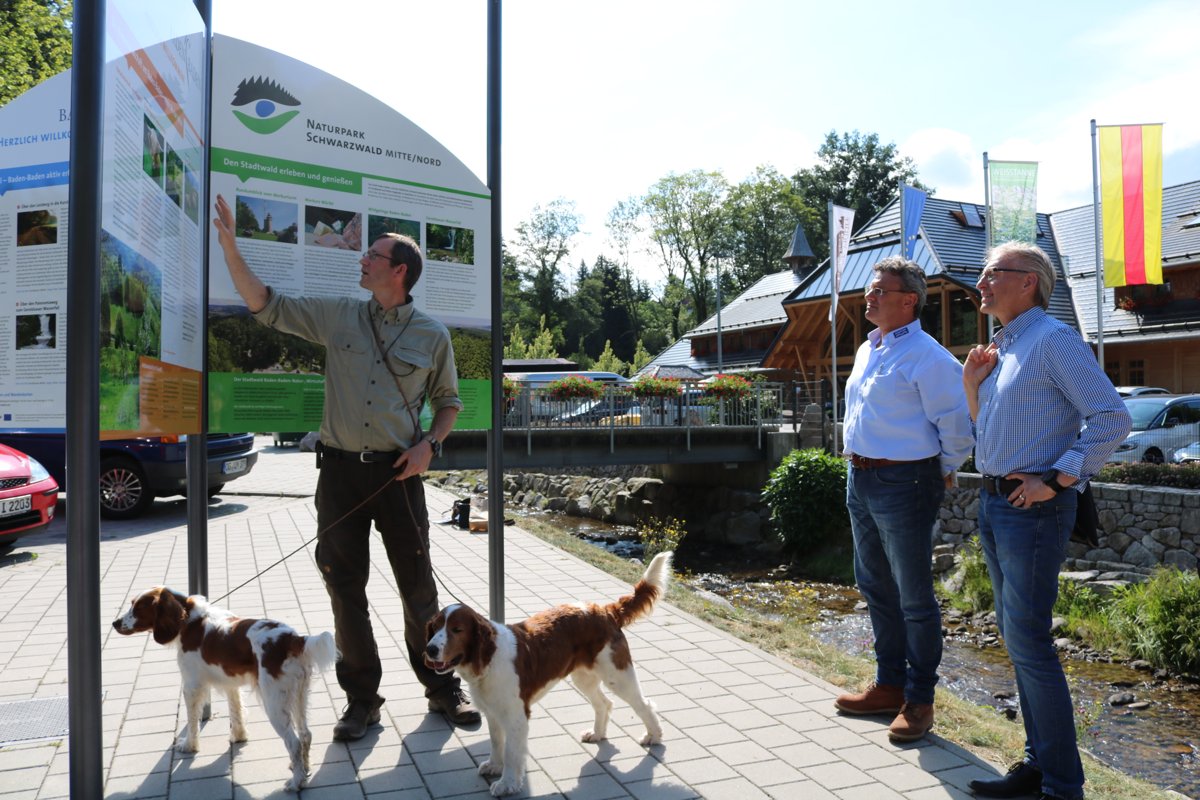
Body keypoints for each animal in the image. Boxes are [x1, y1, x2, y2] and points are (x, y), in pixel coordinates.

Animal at [112, 587, 338, 796]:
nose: (115, 623)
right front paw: (239, 737)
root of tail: (292, 638)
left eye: (138, 607)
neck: (189, 622)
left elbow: (192, 722)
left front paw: (189, 745)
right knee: (306, 734)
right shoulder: (231, 684)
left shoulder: (192, 685)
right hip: (299, 696)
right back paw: (303, 769)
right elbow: (236, 712)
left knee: (294, 742)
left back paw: (296, 782)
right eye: (132, 603)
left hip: (274, 703)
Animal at [422, 551, 672, 796]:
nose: (430, 649)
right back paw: (597, 733)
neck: (488, 658)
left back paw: (653, 736)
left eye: (457, 630)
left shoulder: (516, 716)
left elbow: (512, 754)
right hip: (584, 677)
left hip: (617, 676)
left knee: (644, 705)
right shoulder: (493, 712)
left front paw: (507, 784)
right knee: (604, 703)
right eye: (435, 627)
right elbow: (496, 742)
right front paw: (494, 766)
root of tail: (605, 611)